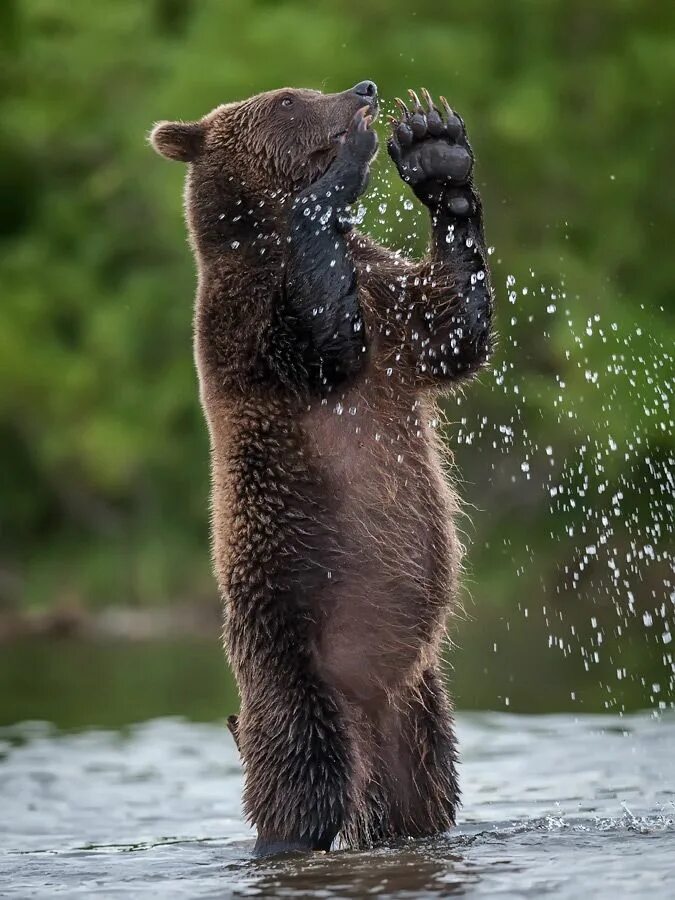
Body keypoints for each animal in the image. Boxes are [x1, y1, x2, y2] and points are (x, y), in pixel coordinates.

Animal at [151, 81, 494, 856]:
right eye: (286, 98)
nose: (362, 89)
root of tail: (366, 707)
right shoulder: (248, 322)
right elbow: (319, 340)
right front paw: (350, 163)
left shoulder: (386, 294)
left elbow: (451, 328)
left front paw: (435, 152)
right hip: (292, 660)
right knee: (300, 783)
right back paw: (281, 837)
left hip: (422, 714)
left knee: (422, 799)